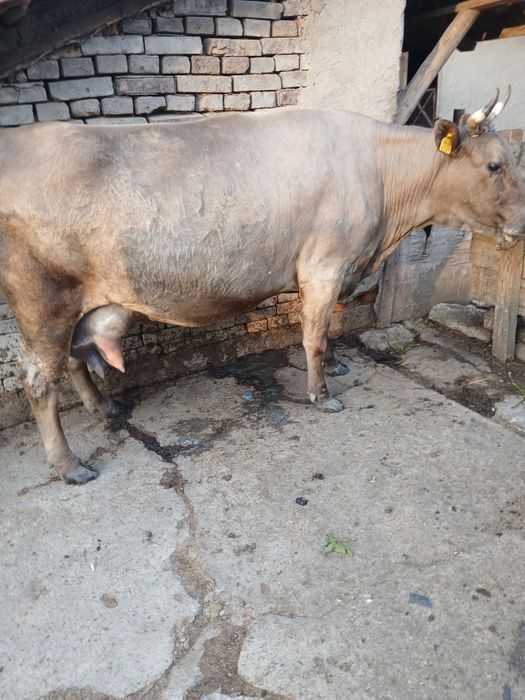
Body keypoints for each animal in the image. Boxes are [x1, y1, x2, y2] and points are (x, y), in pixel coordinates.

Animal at [0, 90, 524, 485]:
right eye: (495, 166)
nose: (522, 222)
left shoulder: (338, 269)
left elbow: (328, 329)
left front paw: (339, 364)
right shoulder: (324, 266)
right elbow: (313, 336)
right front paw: (322, 394)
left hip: (73, 303)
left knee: (72, 358)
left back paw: (103, 406)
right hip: (42, 299)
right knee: (38, 380)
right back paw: (70, 466)